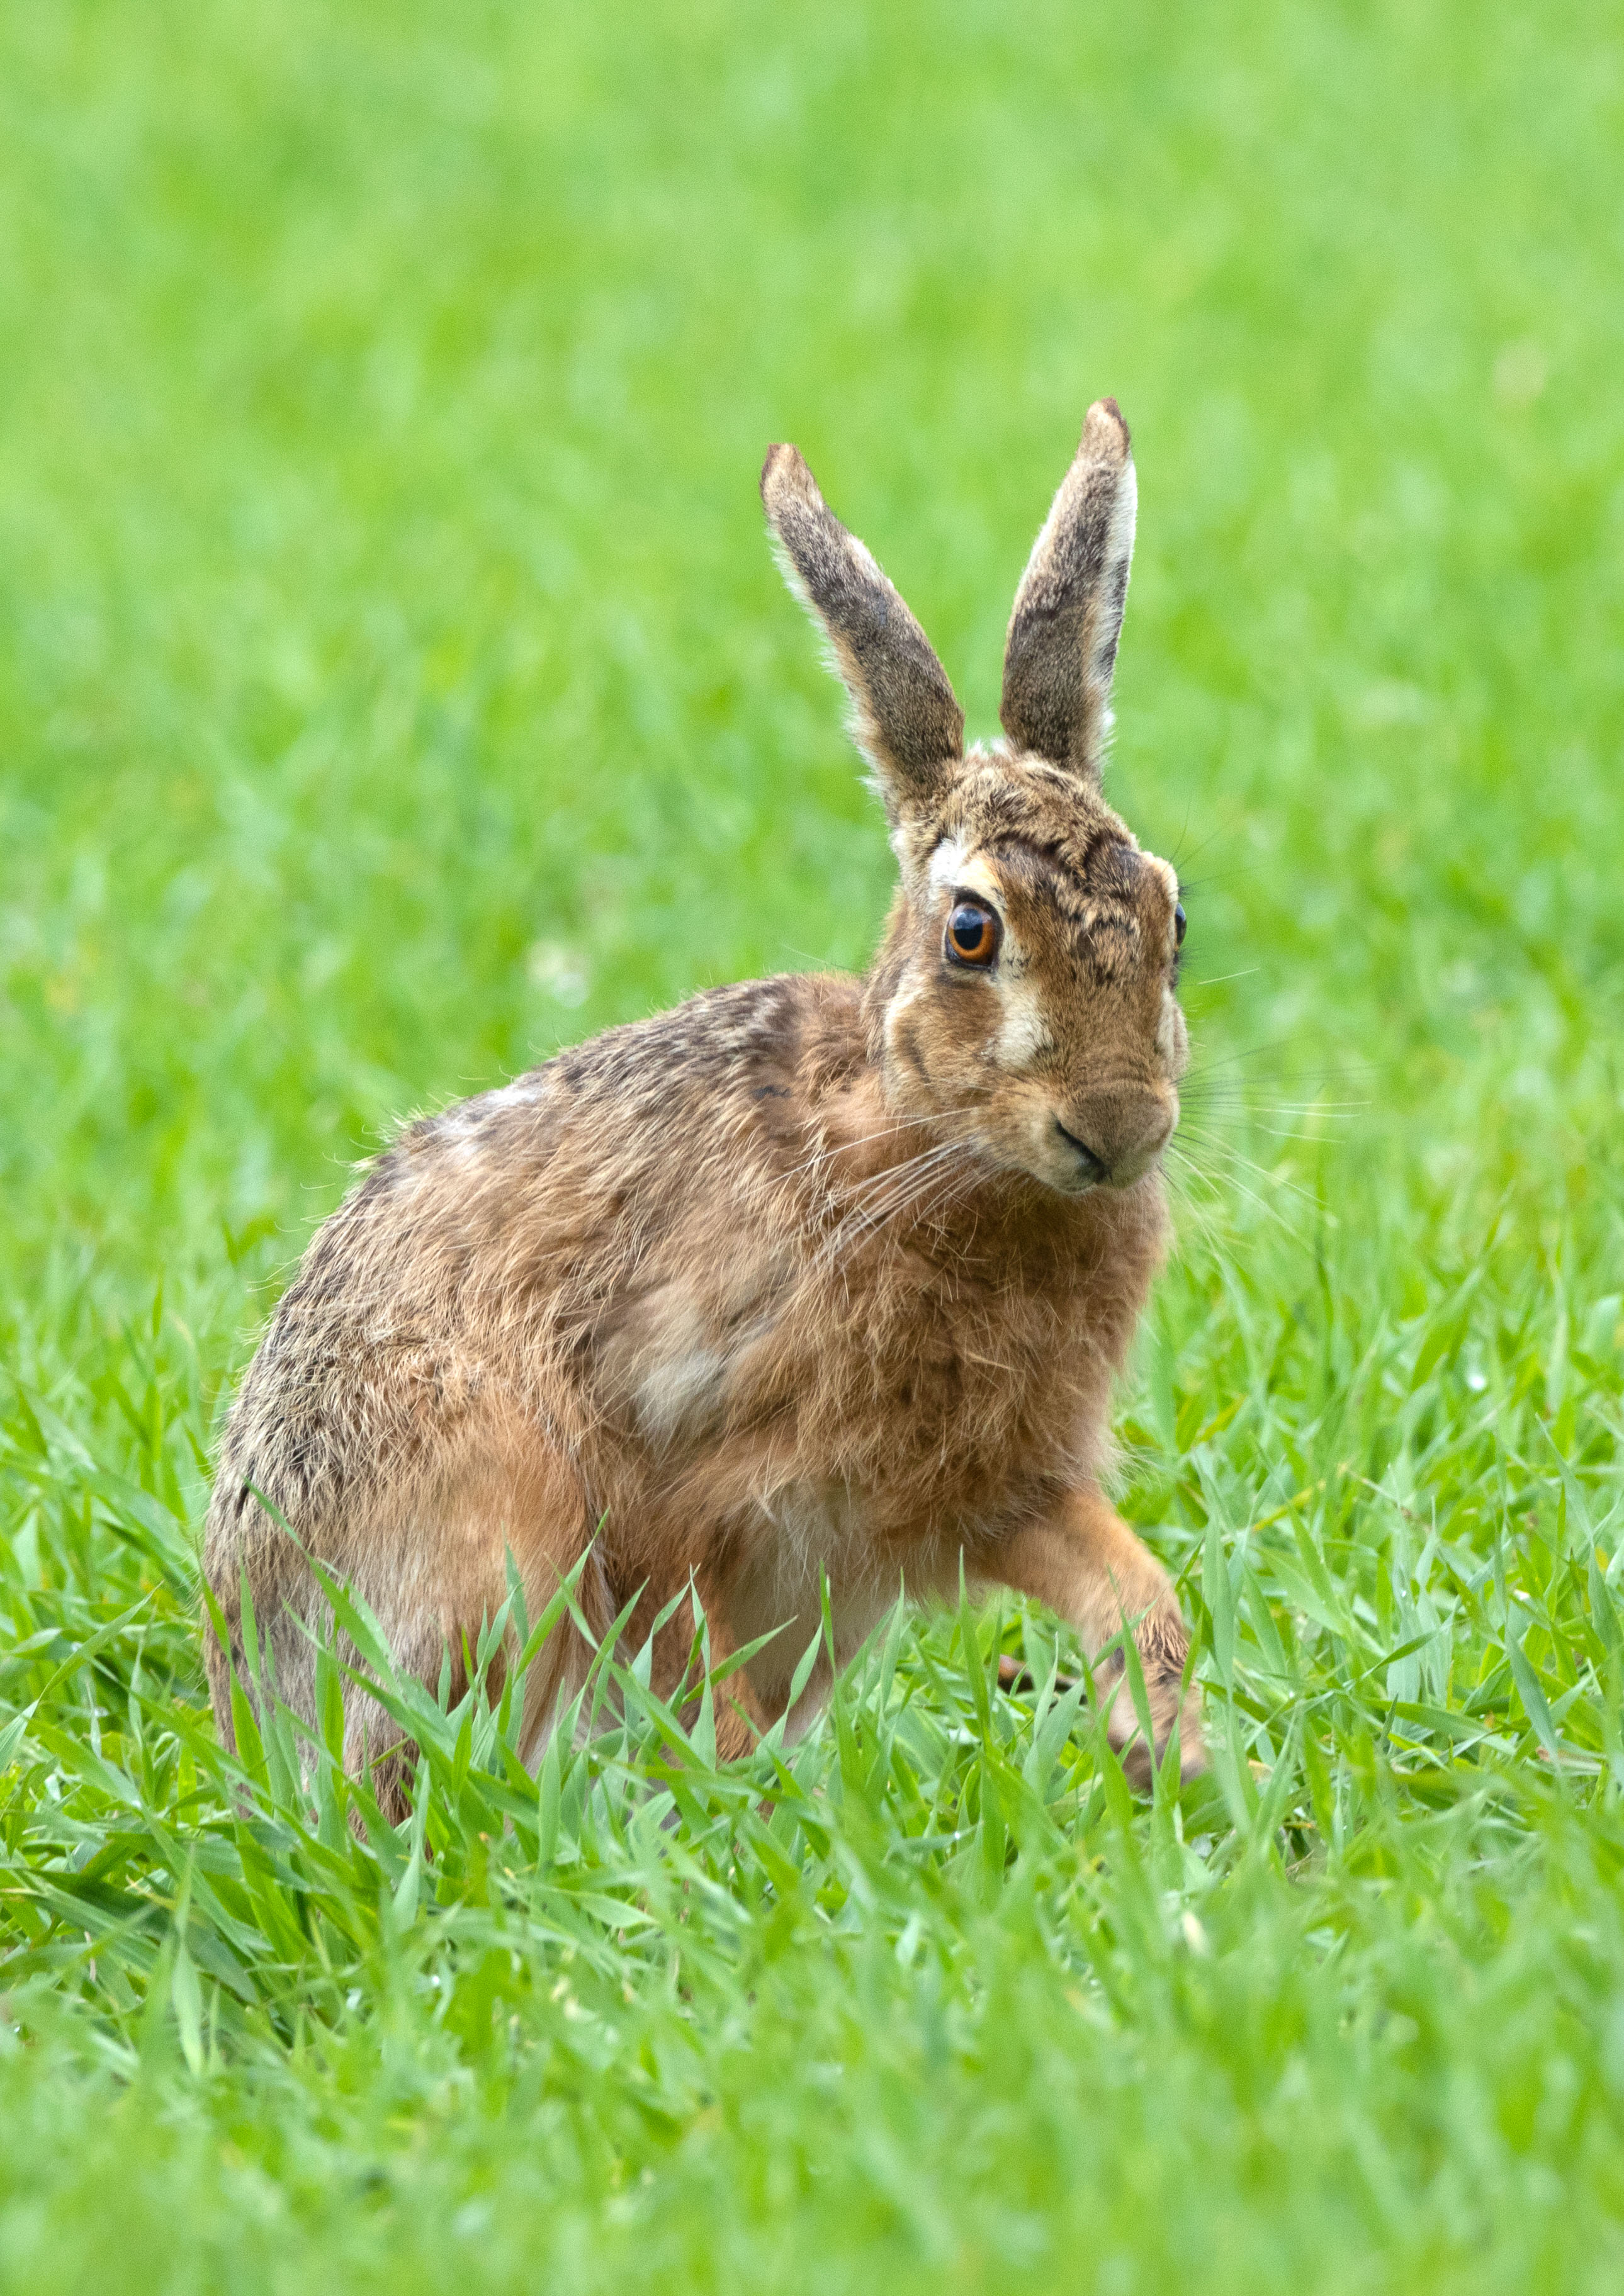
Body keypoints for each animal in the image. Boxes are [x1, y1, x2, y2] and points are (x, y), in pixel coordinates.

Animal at [203, 397, 1203, 1809]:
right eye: (971, 931)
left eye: (1176, 918)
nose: (1116, 1128)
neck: (920, 1145)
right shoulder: (678, 1473)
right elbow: (692, 1655)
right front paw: (750, 1803)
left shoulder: (986, 1485)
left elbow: (1131, 1585)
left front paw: (1168, 1749)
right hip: (496, 1503)